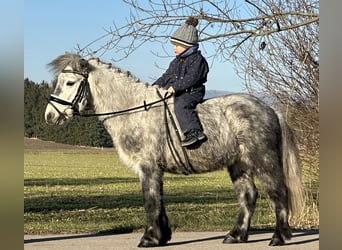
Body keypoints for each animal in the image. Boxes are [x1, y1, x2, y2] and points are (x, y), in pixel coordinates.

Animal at [44, 53, 304, 247]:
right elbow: (159, 201)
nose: (50, 116)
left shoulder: (147, 167)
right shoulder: (154, 170)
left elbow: (150, 201)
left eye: (69, 83)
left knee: (278, 192)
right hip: (238, 165)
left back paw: (279, 237)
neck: (134, 111)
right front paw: (162, 236)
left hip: (264, 160)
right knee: (248, 196)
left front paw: (149, 238)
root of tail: (269, 109)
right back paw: (235, 235)